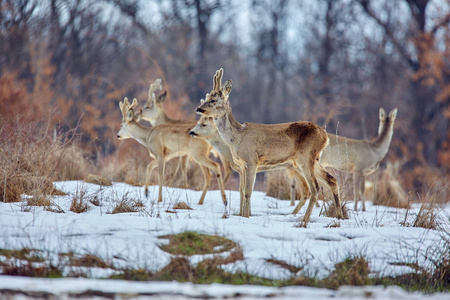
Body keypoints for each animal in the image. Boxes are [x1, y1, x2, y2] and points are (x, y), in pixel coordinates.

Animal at [194, 68, 342, 225]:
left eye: (213, 100)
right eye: (207, 96)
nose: (198, 109)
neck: (236, 138)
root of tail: (325, 136)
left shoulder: (251, 161)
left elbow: (247, 192)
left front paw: (245, 218)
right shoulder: (243, 165)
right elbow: (243, 191)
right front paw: (243, 215)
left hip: (306, 156)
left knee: (315, 187)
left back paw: (304, 221)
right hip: (311, 160)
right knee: (331, 180)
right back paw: (339, 217)